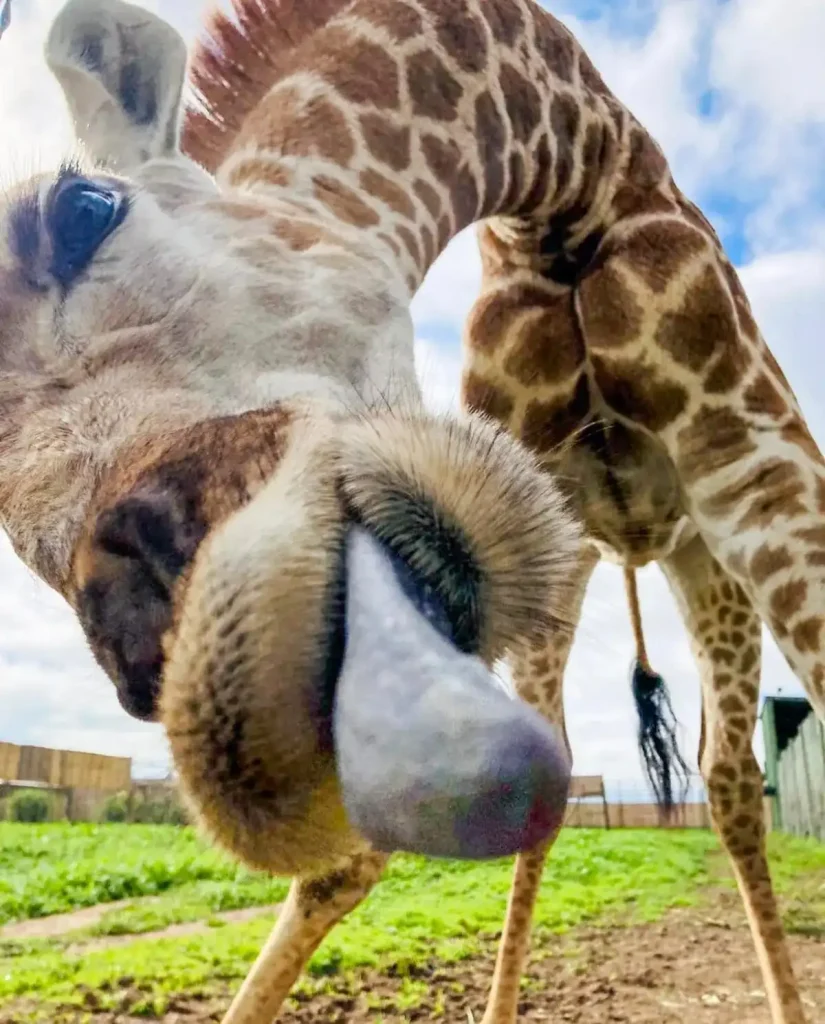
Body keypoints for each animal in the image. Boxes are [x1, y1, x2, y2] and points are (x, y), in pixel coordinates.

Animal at [0, 0, 821, 1021]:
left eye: (82, 209)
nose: (229, 687)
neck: (563, 176)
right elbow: (354, 860)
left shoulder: (755, 452)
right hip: (572, 571)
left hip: (703, 559)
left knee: (730, 780)